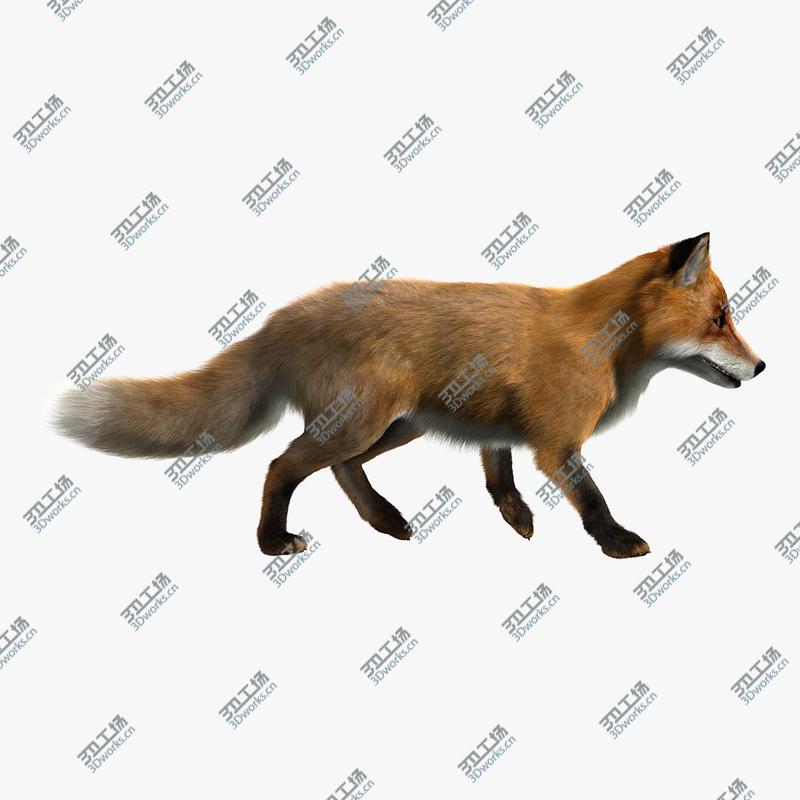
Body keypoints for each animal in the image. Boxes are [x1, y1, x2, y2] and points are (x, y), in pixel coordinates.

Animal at [53, 232, 765, 559]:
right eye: (721, 318)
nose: (762, 367)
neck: (604, 343)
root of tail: (282, 316)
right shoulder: (557, 443)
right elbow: (591, 498)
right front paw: (616, 542)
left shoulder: (499, 429)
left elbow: (498, 474)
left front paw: (515, 516)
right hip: (365, 420)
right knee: (282, 464)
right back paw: (272, 541)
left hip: (400, 425)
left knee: (339, 468)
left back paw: (384, 518)